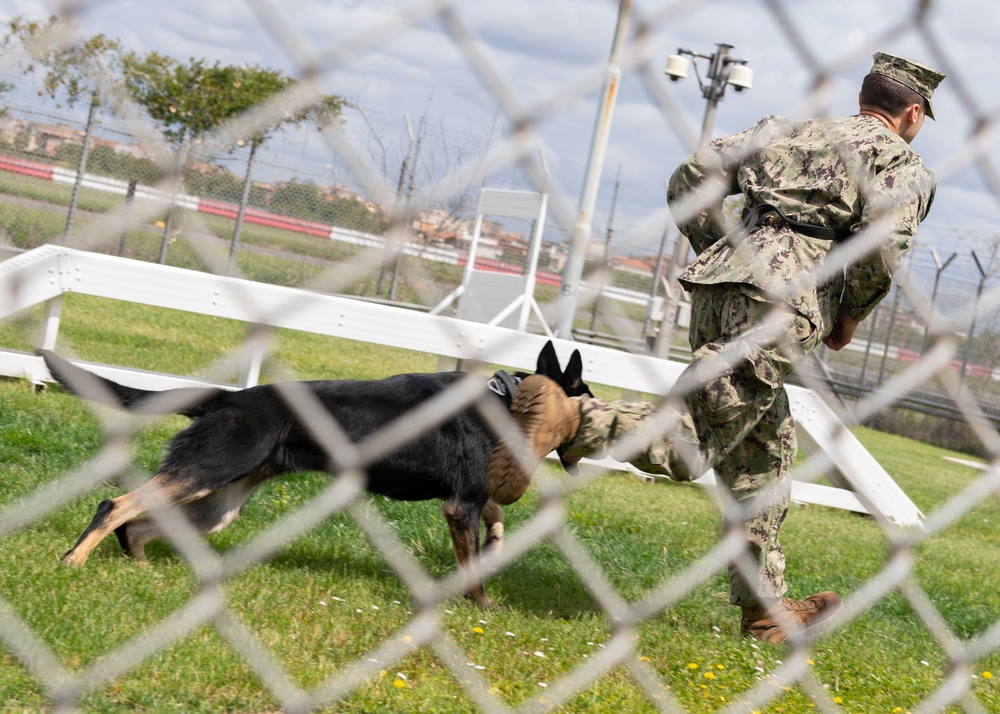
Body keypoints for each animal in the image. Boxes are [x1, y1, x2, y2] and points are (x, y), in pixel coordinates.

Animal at [39, 342, 588, 604]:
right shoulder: (461, 503)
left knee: (139, 525)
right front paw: (481, 606)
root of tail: (229, 398)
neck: (509, 399)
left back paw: (140, 571)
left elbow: (495, 519)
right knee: (115, 506)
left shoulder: (467, 499)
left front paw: (495, 546)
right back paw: (72, 562)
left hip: (219, 503)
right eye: (584, 392)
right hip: (206, 472)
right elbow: (472, 566)